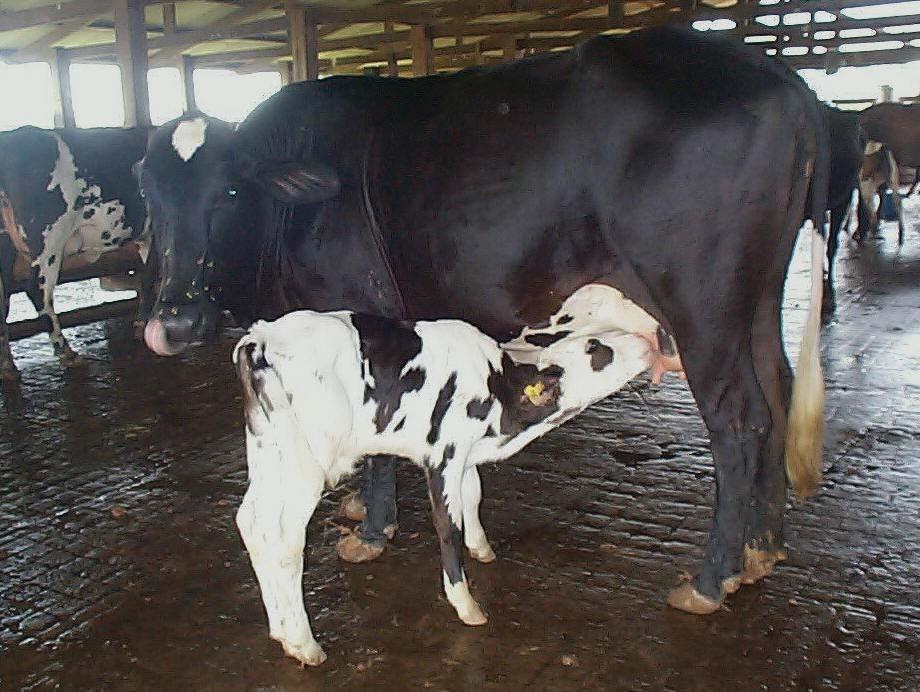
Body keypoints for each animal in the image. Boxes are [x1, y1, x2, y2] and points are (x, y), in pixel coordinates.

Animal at [140, 28, 832, 616]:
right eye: (149, 193)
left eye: (229, 191)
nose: (174, 319)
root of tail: (764, 67)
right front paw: (362, 507)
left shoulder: (364, 316)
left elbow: (378, 437)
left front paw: (374, 528)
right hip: (756, 302)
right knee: (777, 390)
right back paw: (762, 548)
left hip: (701, 307)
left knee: (739, 418)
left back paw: (713, 578)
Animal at [234, 308, 656, 664]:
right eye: (596, 347)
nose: (647, 340)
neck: (500, 392)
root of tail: (261, 337)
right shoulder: (443, 455)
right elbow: (447, 526)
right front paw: (467, 605)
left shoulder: (466, 456)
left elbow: (474, 497)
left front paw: (482, 548)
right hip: (306, 463)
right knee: (285, 541)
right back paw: (303, 642)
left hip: (271, 452)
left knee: (252, 523)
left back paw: (279, 629)